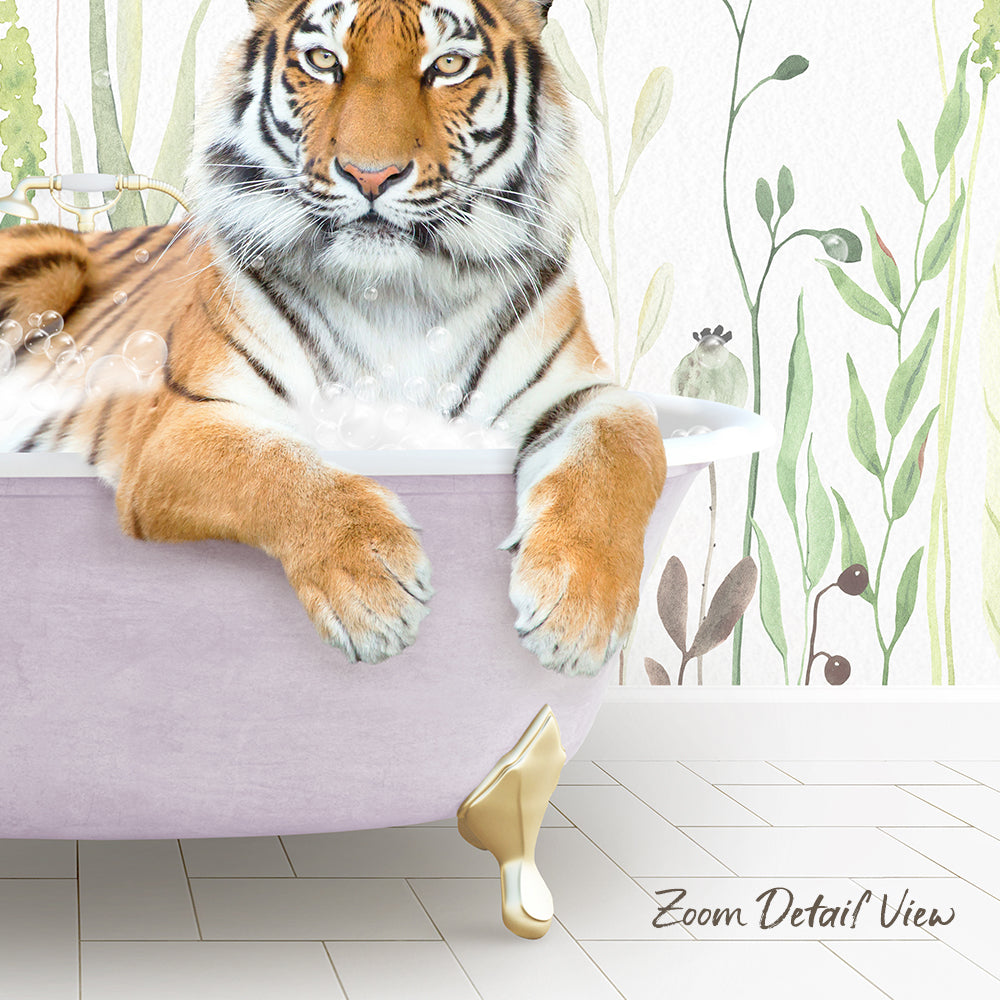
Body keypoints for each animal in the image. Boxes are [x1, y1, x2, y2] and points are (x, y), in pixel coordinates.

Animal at [0, 0, 666, 677]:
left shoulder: (581, 393)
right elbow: (274, 465)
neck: (395, 296)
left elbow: (625, 447)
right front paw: (372, 591)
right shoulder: (180, 424)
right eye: (324, 60)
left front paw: (579, 611)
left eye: (448, 64)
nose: (371, 176)